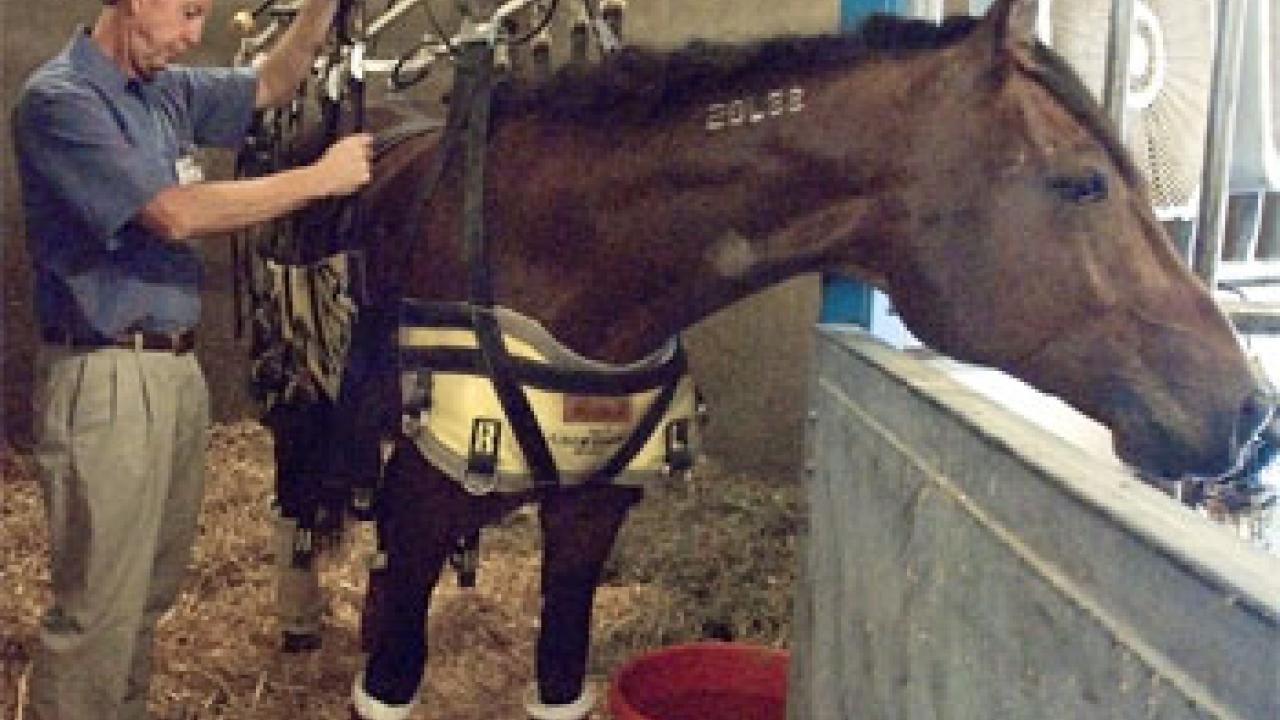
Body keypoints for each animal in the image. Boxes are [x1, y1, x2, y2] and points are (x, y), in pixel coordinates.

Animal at [259, 0, 1277, 717]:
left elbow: (558, 673)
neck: (551, 250)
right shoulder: (421, 511)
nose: (1251, 411)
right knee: (302, 497)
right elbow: (393, 673)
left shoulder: (588, 519)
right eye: (1083, 182)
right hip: (301, 398)